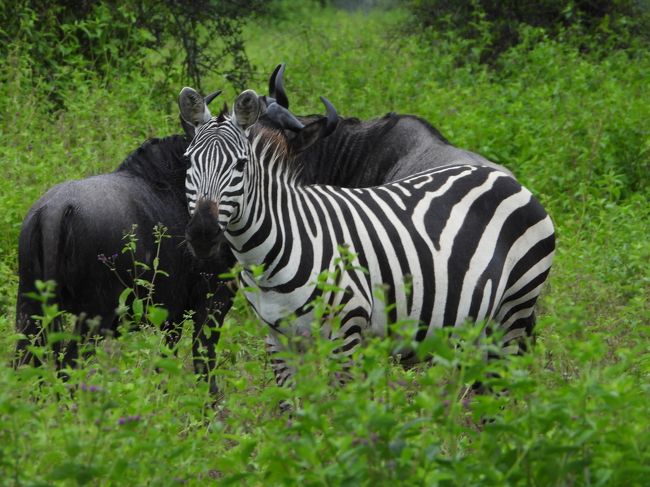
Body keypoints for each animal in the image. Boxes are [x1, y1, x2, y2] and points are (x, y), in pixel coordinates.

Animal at [181, 89, 552, 386]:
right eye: (188, 163)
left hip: (515, 306)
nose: (202, 233)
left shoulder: (347, 332)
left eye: (241, 165)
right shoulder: (279, 338)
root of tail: (504, 177)